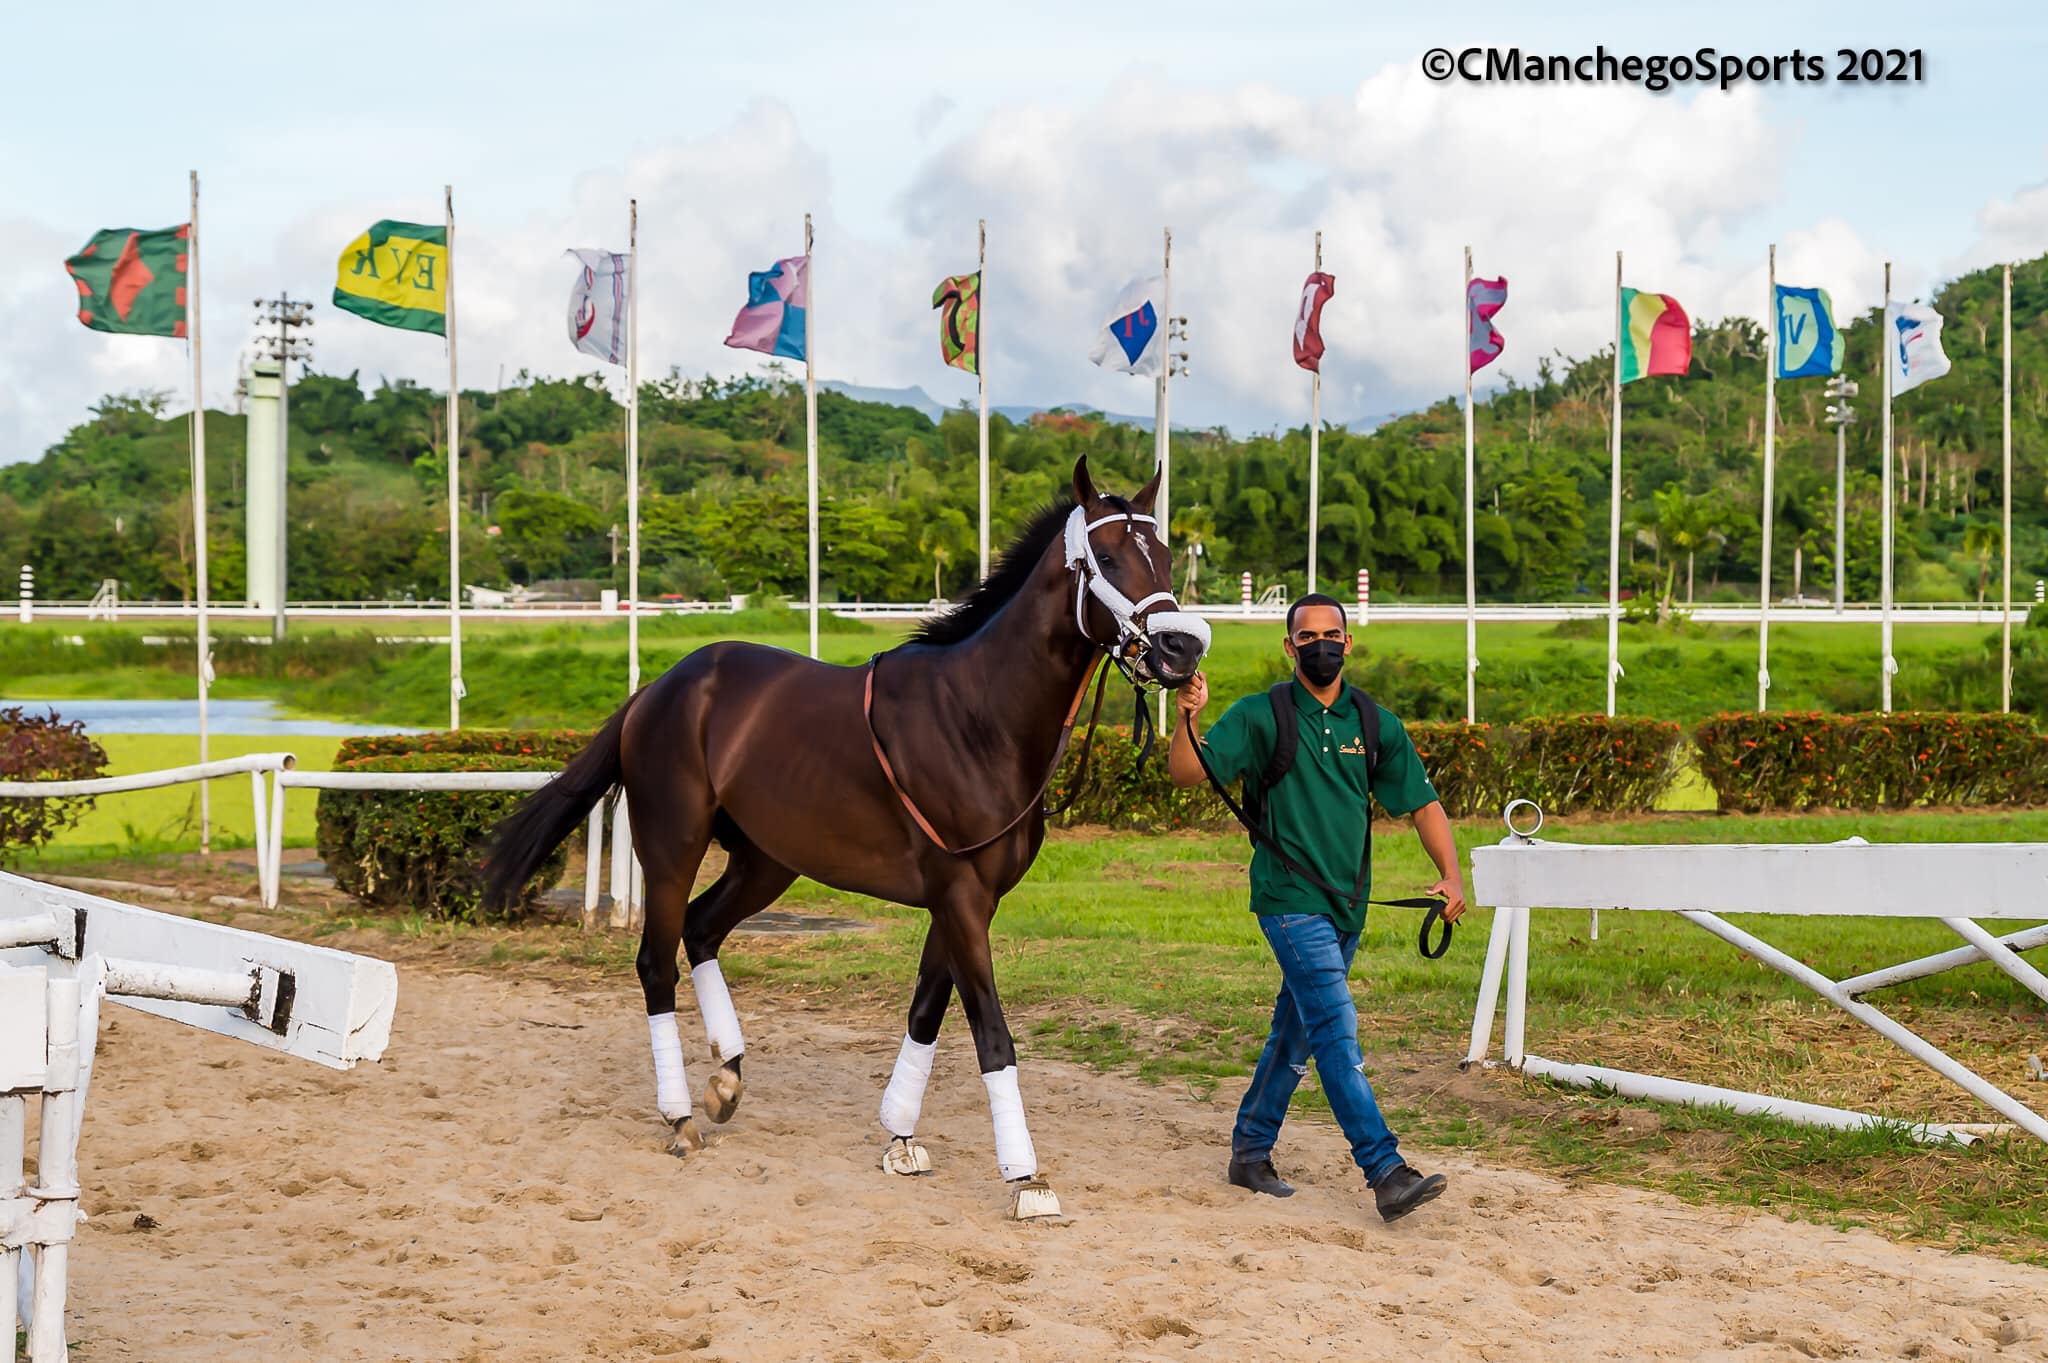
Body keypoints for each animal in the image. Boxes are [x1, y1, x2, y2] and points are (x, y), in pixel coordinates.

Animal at [481, 456, 1209, 1218]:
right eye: (1108, 556)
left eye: (1165, 554)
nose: (1183, 646)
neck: (978, 716)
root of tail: (658, 688)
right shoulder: (960, 895)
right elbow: (991, 1031)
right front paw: (1025, 1175)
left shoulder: (964, 900)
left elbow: (926, 1011)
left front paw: (900, 1136)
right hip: (672, 846)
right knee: (657, 959)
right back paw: (679, 1116)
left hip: (768, 860)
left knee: (702, 929)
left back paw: (728, 1077)